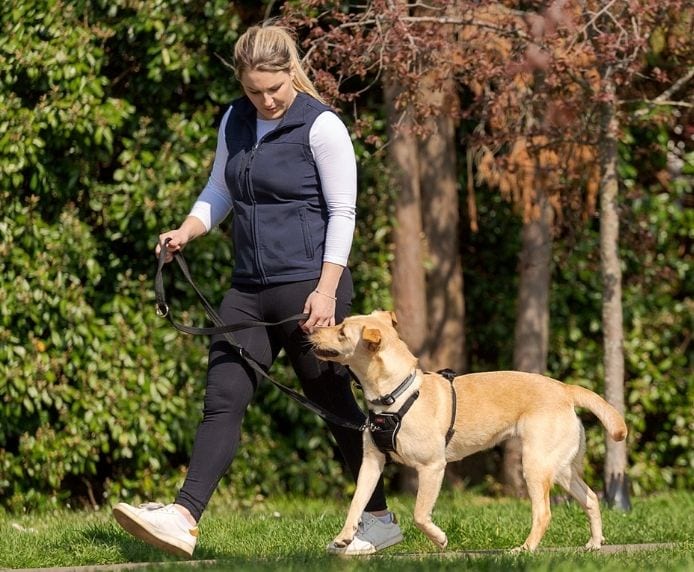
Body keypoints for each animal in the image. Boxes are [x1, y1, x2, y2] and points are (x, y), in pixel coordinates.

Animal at [310, 310, 632, 552]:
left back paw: (525, 549)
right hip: (561, 466)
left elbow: (419, 514)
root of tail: (565, 389)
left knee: (543, 513)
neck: (395, 396)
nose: (311, 330)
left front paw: (440, 539)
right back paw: (594, 543)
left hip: (535, 464)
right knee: (590, 498)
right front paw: (344, 537)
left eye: (342, 332)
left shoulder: (432, 467)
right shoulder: (371, 463)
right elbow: (356, 502)